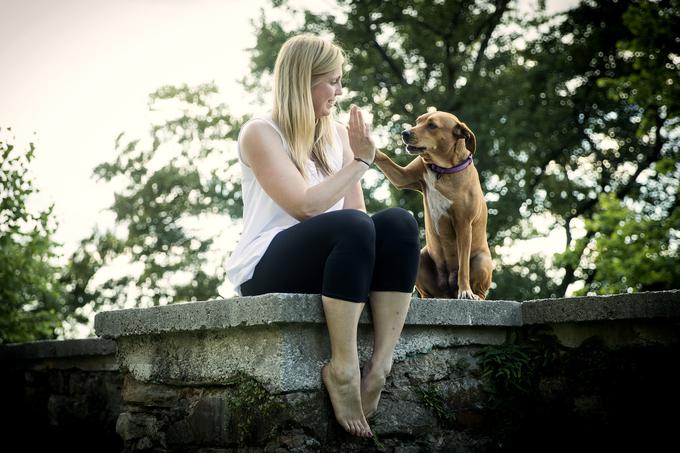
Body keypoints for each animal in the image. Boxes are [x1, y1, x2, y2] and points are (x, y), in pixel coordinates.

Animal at [374, 111, 492, 298]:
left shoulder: (464, 224)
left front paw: (465, 290)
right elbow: (386, 160)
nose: (405, 133)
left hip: (481, 260)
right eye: (417, 122)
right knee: (427, 291)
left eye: (432, 125)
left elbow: (463, 266)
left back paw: (474, 295)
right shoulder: (405, 176)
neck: (443, 169)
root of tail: (447, 291)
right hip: (422, 257)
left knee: (479, 288)